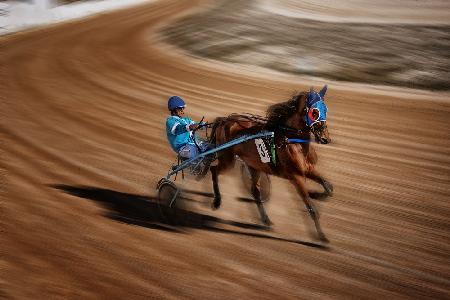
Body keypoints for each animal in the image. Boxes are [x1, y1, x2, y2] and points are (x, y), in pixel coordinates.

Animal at [209, 85, 332, 243]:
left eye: (326, 109)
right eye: (314, 112)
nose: (325, 138)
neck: (292, 139)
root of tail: (225, 120)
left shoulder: (308, 170)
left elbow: (328, 187)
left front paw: (315, 194)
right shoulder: (296, 177)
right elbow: (311, 208)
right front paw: (322, 237)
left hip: (254, 165)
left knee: (255, 191)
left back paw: (266, 220)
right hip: (227, 159)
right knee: (214, 170)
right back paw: (217, 201)